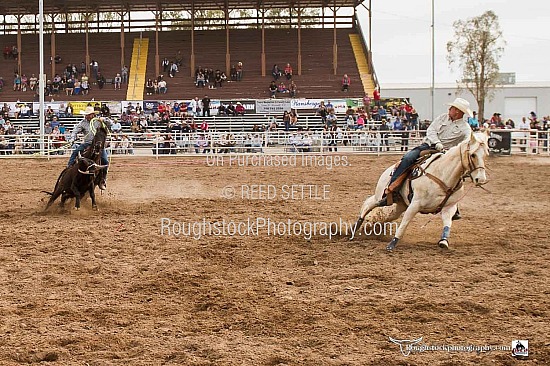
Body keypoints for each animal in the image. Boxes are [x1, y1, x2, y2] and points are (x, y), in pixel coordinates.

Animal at [356, 130, 494, 250]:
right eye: (473, 155)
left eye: (486, 154)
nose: (481, 179)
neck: (443, 175)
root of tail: (388, 170)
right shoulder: (415, 204)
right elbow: (404, 223)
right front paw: (392, 244)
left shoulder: (449, 207)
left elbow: (447, 223)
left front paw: (444, 241)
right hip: (382, 196)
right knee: (369, 204)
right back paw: (356, 226)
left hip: (400, 205)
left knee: (386, 214)